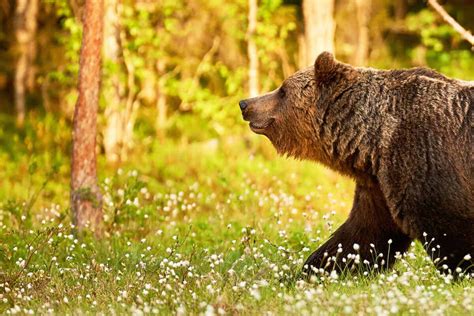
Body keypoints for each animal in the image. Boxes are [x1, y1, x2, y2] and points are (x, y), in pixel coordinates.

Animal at [241, 52, 474, 276]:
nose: (245, 104)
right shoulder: (378, 185)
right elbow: (363, 234)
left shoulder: (424, 155)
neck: (372, 140)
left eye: (282, 90)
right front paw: (313, 270)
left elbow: (447, 225)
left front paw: (462, 270)